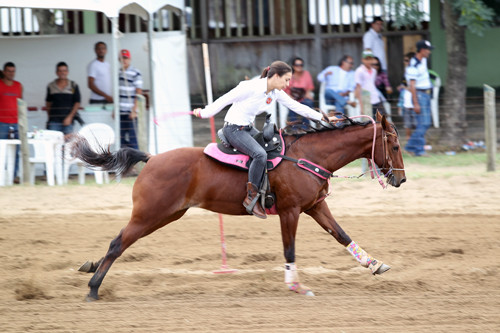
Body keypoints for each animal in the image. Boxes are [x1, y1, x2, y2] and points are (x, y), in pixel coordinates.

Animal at [73, 112, 406, 300]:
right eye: (395, 145)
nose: (401, 179)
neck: (307, 156)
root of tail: (152, 158)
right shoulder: (290, 212)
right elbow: (289, 250)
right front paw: (296, 287)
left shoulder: (314, 207)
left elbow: (342, 235)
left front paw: (375, 264)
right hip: (149, 214)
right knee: (118, 243)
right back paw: (93, 287)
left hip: (165, 215)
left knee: (120, 241)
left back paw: (91, 268)